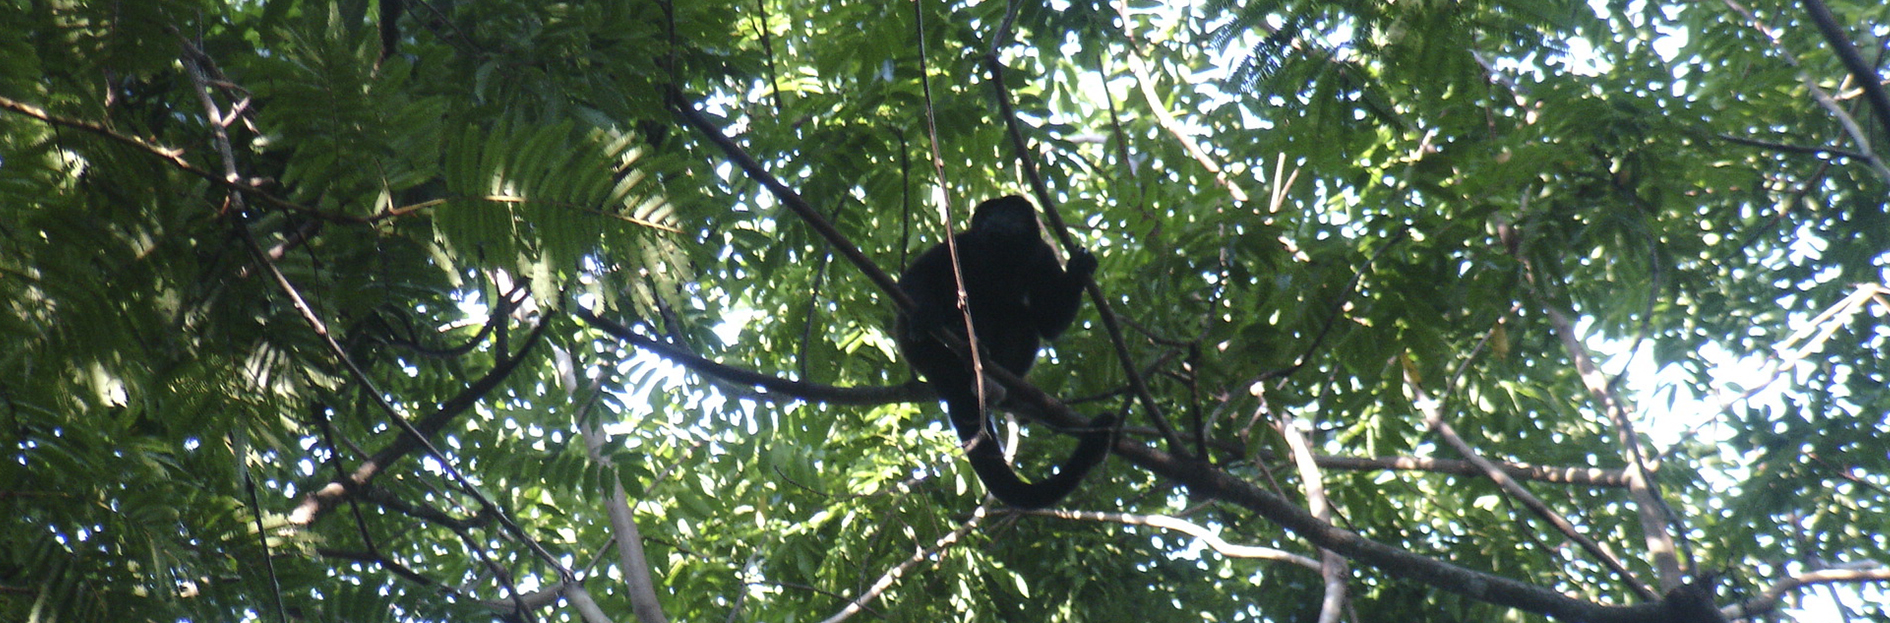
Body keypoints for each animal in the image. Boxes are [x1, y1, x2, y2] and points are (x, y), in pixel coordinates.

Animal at [895, 196, 1111, 509]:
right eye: (987, 216)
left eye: (1007, 211)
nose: (993, 221)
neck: (1002, 258)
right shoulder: (960, 243)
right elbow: (916, 276)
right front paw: (926, 313)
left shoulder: (1042, 255)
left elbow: (1048, 323)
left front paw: (1080, 267)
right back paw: (953, 334)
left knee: (1021, 320)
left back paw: (989, 373)